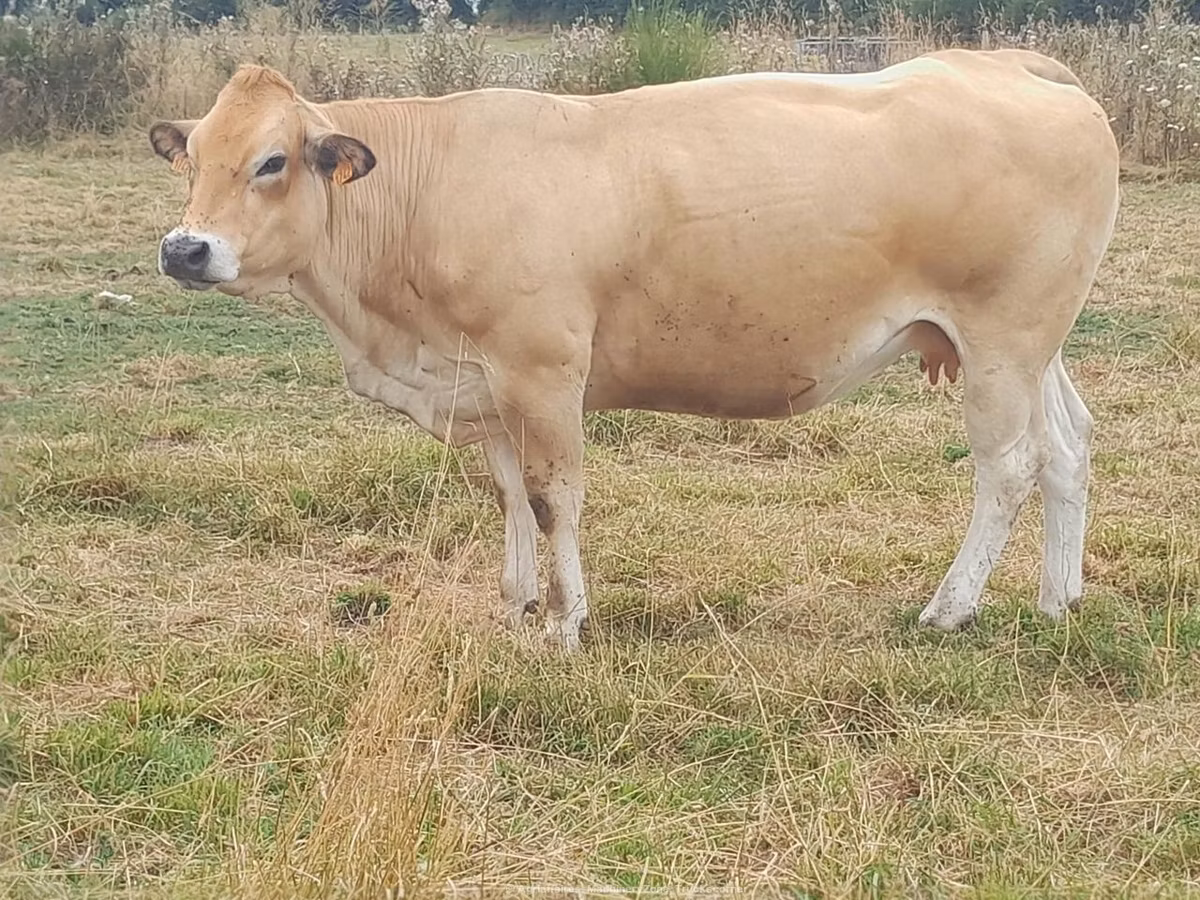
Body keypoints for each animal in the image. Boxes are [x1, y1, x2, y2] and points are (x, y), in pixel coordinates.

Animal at [148, 49, 1120, 652]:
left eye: (272, 162)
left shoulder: (542, 372)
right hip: (1034, 346)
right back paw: (1056, 601)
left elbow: (553, 501)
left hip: (999, 342)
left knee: (1009, 466)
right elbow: (507, 496)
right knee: (1069, 447)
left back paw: (949, 609)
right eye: (189, 158)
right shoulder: (486, 380)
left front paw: (563, 624)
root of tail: (1005, 62)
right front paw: (516, 602)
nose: (184, 250)